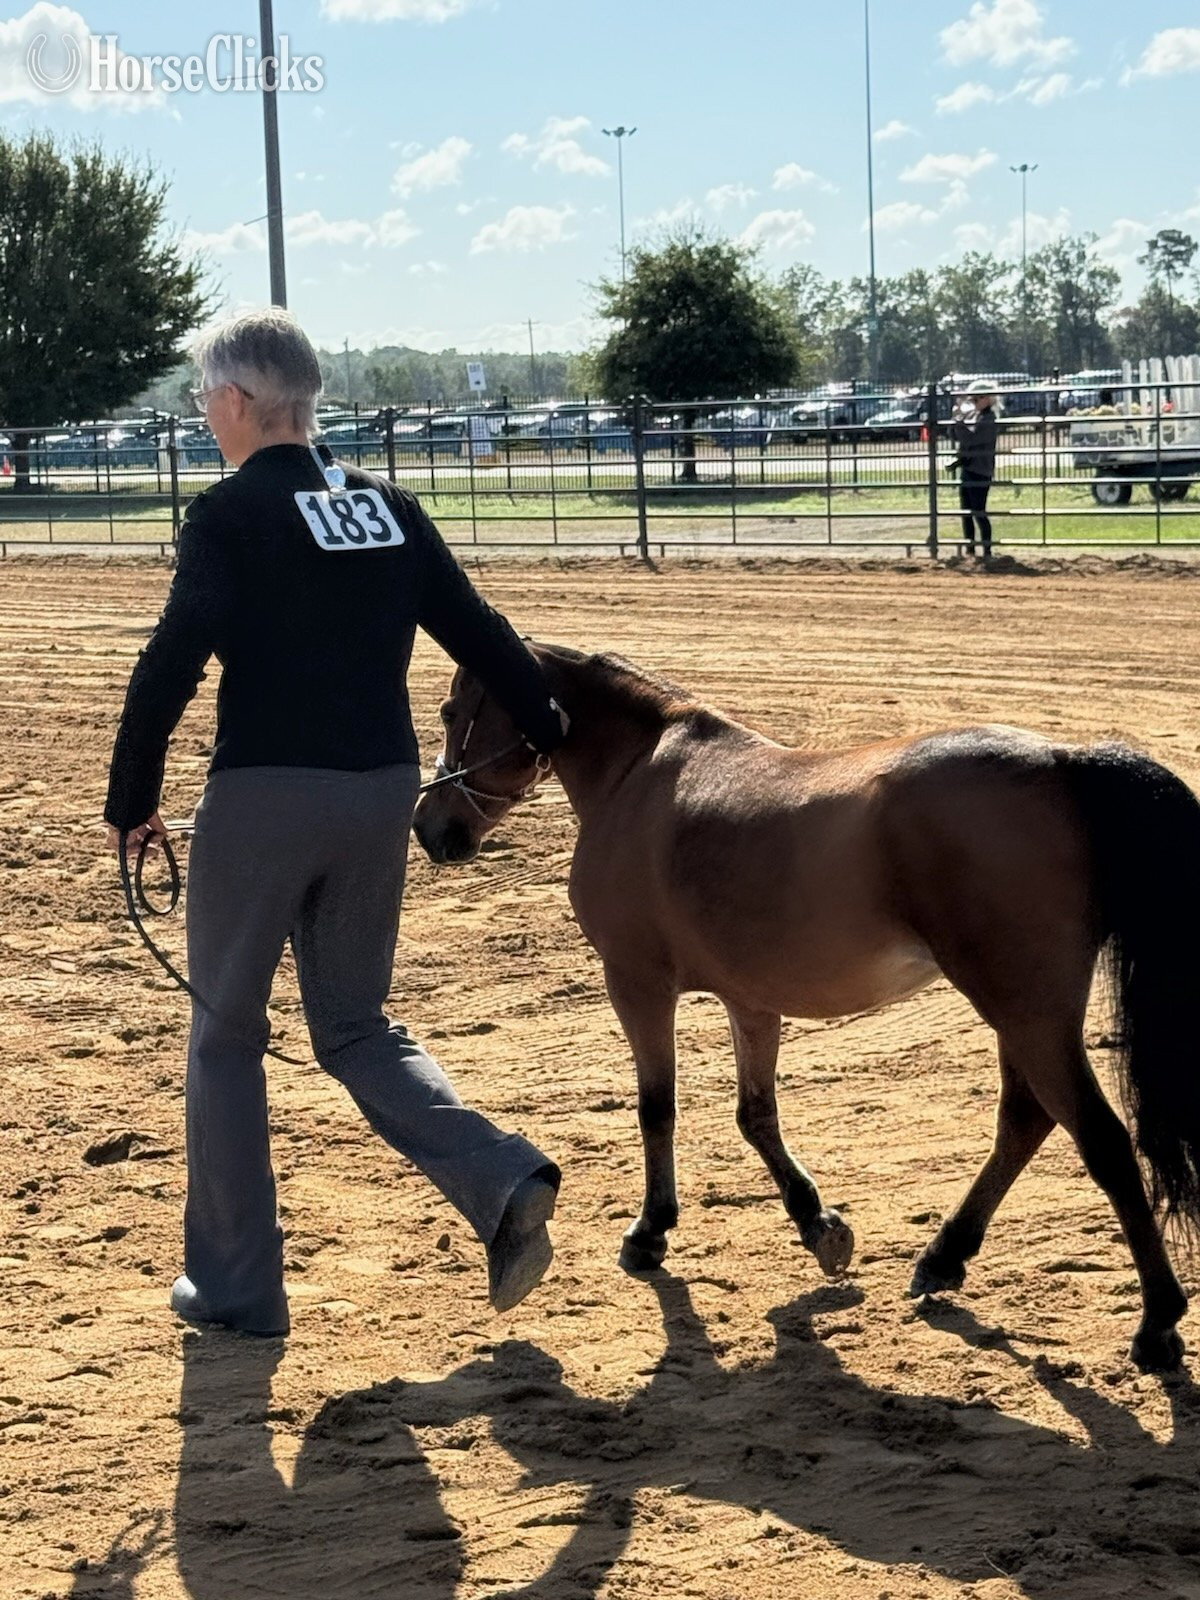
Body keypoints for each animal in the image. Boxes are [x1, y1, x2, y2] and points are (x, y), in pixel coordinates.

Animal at [412, 643, 1200, 1373]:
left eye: (450, 713)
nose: (429, 826)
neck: (637, 772)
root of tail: (1064, 760)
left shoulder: (637, 983)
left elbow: (657, 1108)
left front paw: (650, 1231)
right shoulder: (751, 1002)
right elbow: (755, 1116)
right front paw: (818, 1224)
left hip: (1028, 1012)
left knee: (1102, 1142)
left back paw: (1157, 1321)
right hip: (1023, 1014)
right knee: (1026, 1122)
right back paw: (944, 1256)